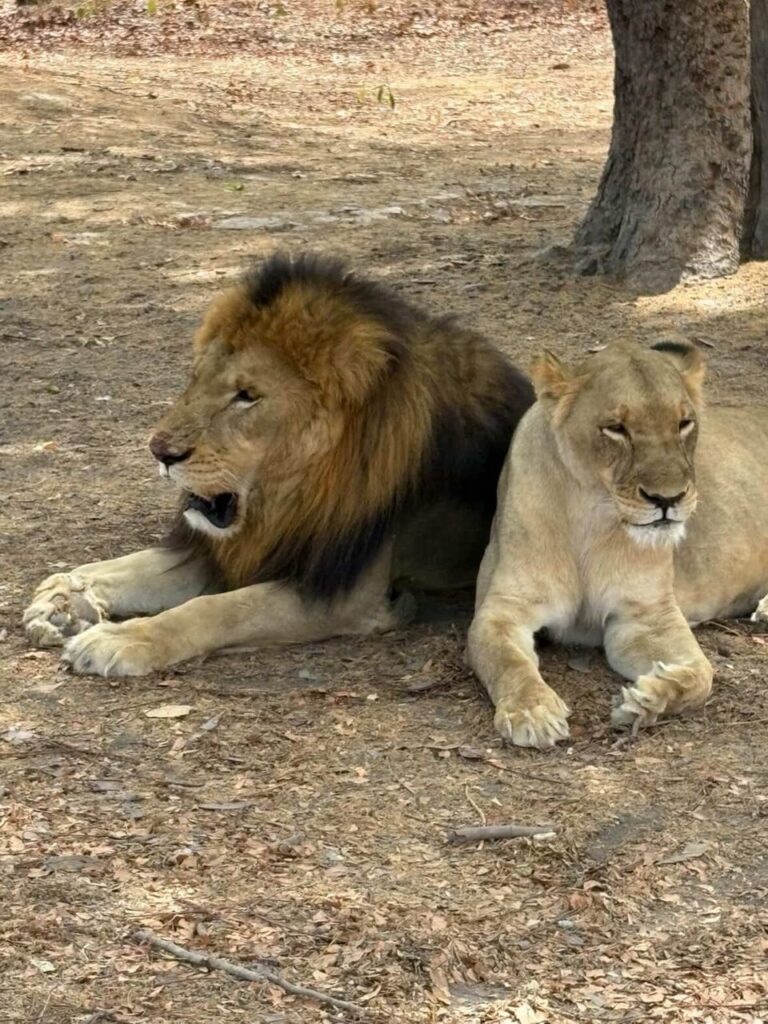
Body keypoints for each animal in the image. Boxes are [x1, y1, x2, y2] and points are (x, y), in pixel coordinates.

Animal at [23, 253, 534, 675]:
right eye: (196, 378)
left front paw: (119, 639)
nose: (160, 452)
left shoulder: (346, 595)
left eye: (246, 395)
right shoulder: (235, 548)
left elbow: (216, 609)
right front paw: (62, 595)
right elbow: (130, 566)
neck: (290, 497)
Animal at [467, 339, 768, 749]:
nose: (667, 499)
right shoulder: (502, 609)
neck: (592, 516)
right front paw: (532, 711)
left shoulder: (645, 616)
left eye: (684, 423)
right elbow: (507, 661)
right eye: (616, 429)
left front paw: (648, 699)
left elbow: (702, 675)